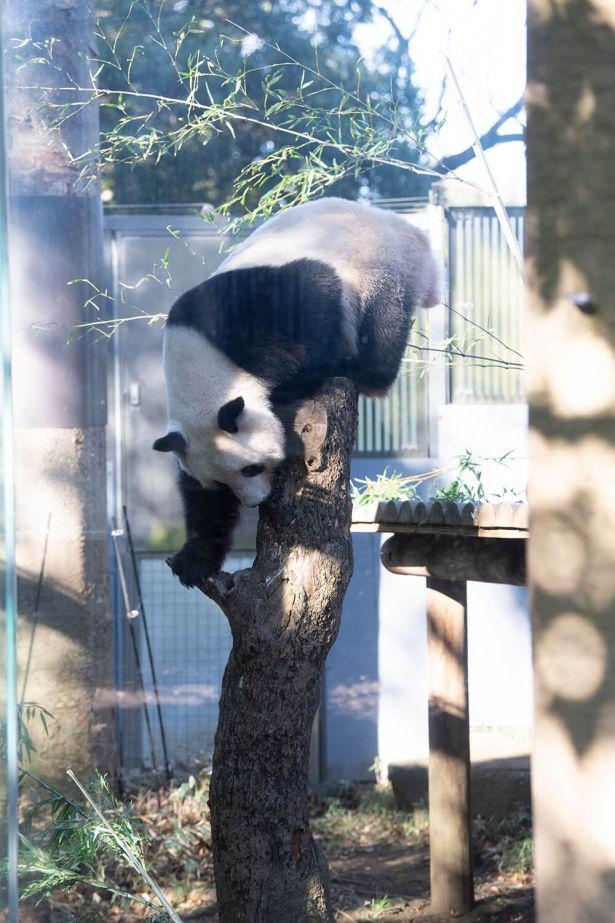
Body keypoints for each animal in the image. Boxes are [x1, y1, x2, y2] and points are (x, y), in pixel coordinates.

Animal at [154, 196, 442, 588]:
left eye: (250, 468)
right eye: (222, 483)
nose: (255, 502)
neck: (205, 365)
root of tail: (400, 225)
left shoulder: (261, 312)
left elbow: (314, 319)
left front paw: (295, 384)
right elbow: (198, 499)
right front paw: (194, 559)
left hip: (383, 269)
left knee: (383, 326)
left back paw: (362, 370)